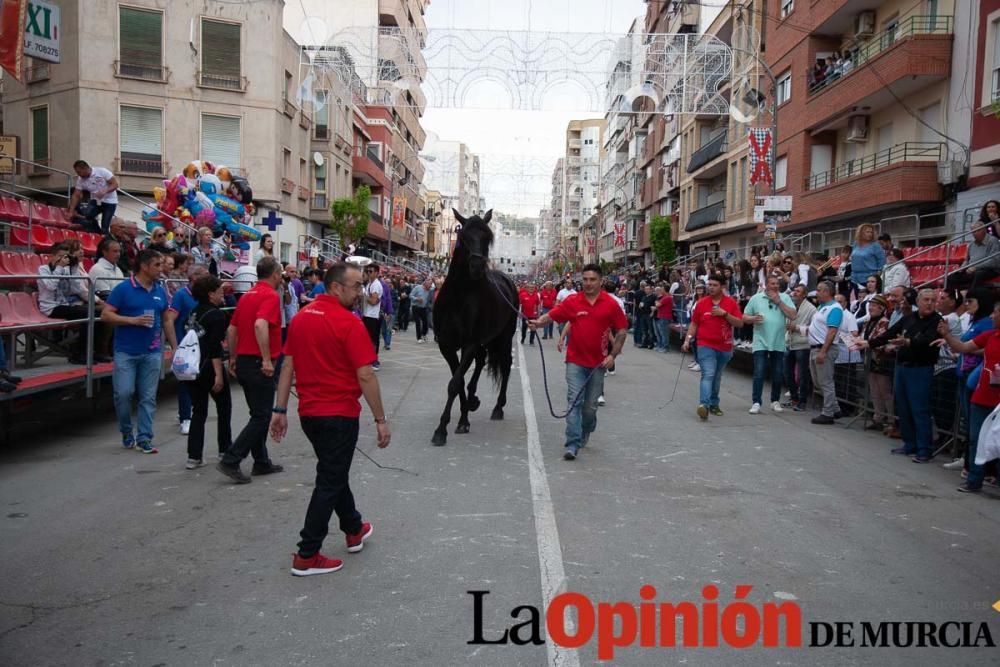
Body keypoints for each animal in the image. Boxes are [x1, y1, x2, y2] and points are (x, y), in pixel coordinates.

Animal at [432, 211, 520, 446]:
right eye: (463, 236)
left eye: (487, 237)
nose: (477, 267)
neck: (458, 295)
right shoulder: (447, 345)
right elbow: (459, 381)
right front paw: (463, 418)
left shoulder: (469, 343)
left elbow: (455, 383)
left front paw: (442, 429)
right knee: (480, 362)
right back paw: (472, 400)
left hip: (504, 337)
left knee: (505, 366)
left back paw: (498, 407)